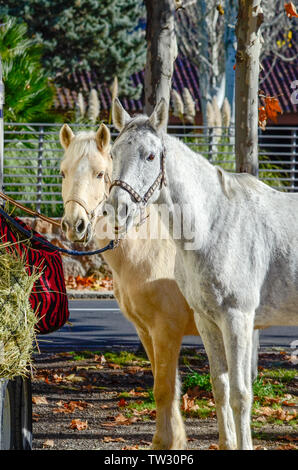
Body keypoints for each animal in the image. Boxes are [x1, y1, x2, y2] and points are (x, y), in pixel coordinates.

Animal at [59, 123, 197, 450]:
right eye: (63, 173)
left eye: (100, 173)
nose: (74, 225)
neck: (151, 245)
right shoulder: (146, 331)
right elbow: (165, 385)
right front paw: (172, 439)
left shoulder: (166, 330)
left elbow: (164, 388)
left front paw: (164, 442)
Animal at [105, 97, 298, 450]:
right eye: (113, 153)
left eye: (150, 155)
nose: (117, 211)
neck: (214, 224)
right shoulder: (208, 321)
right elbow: (220, 387)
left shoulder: (237, 319)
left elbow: (240, 394)